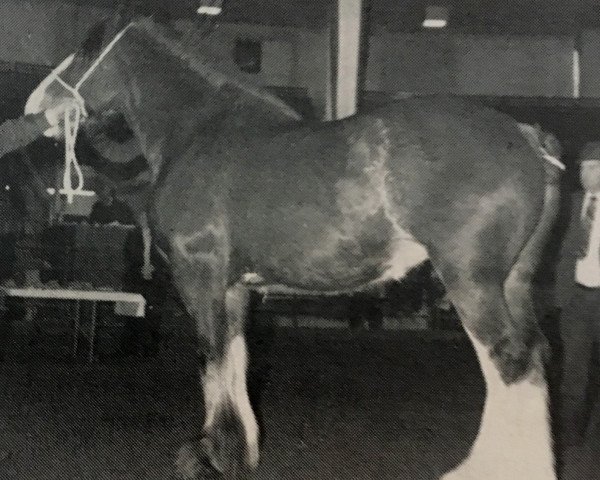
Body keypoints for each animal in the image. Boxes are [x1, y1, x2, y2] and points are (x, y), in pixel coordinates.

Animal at [25, 17, 564, 480]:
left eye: (84, 51)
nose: (34, 104)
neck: (201, 130)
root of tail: (525, 137)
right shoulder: (236, 288)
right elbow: (236, 359)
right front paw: (240, 451)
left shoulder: (198, 274)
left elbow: (211, 359)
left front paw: (211, 457)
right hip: (513, 282)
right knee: (534, 358)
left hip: (471, 281)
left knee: (508, 362)